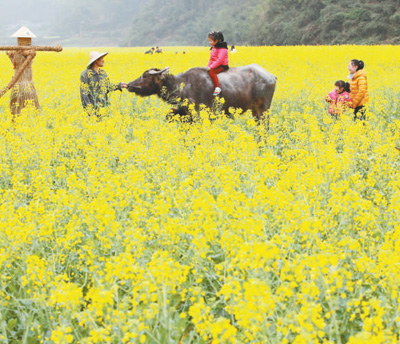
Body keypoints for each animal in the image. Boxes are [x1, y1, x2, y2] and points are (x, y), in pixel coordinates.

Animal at [126, 64, 276, 123]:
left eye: (145, 76)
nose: (129, 85)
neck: (183, 85)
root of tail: (271, 76)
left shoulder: (199, 115)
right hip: (254, 111)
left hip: (263, 109)